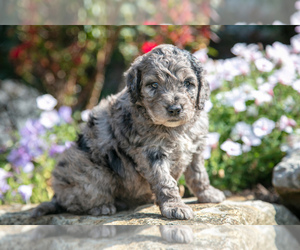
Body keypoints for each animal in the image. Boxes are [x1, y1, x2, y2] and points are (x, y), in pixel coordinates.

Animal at [32, 44, 225, 220]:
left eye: (188, 83)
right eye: (153, 85)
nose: (175, 109)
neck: (176, 129)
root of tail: (56, 196)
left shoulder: (196, 147)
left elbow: (198, 174)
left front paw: (208, 193)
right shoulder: (151, 153)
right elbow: (165, 181)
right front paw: (175, 206)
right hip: (91, 171)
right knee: (78, 199)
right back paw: (101, 207)